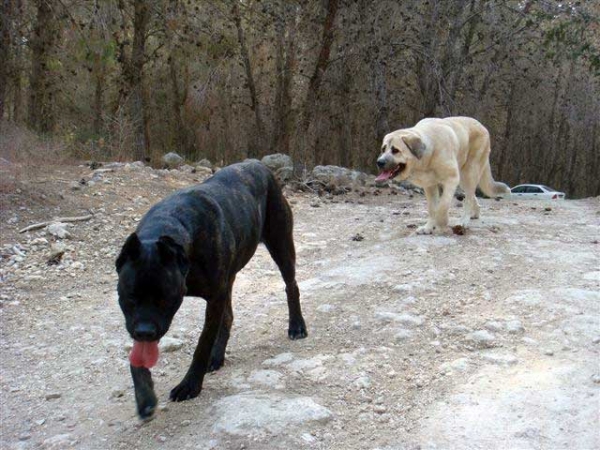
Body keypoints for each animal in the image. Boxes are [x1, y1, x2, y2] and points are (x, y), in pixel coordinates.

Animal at [115, 161, 308, 418]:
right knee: (228, 317)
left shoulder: (214, 298)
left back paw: (296, 325)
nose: (145, 332)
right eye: (130, 297)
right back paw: (217, 356)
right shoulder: (136, 320)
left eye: (165, 299)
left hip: (281, 245)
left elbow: (203, 342)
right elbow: (136, 356)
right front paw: (144, 395)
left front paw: (190, 385)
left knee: (291, 286)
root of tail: (260, 164)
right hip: (231, 278)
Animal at [378, 116, 508, 236]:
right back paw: (475, 213)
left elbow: (442, 206)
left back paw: (463, 221)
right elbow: (432, 208)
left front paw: (441, 224)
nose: (379, 162)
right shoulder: (430, 186)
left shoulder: (451, 180)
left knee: (468, 198)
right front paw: (428, 227)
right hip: (463, 178)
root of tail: (482, 126)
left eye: (395, 150)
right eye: (383, 149)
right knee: (472, 196)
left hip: (469, 173)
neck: (428, 155)